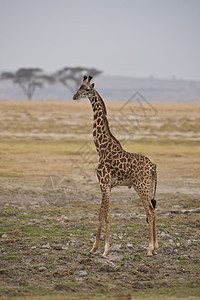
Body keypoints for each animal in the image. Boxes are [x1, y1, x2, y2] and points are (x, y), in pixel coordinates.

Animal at [72, 75, 159, 258]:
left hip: (141, 186)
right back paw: (155, 248)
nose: (74, 96)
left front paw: (106, 250)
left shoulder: (104, 182)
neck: (101, 148)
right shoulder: (107, 185)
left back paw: (149, 249)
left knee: (149, 210)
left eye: (86, 89)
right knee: (154, 210)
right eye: (79, 87)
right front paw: (94, 248)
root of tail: (153, 166)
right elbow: (100, 214)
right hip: (149, 187)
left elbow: (107, 214)